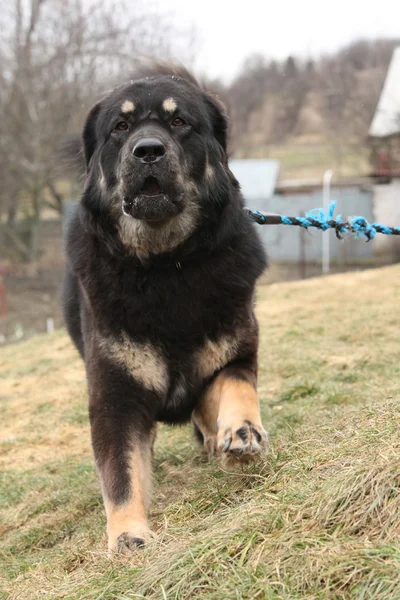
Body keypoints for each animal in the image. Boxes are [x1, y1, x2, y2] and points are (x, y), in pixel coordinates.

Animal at [62, 64, 268, 552]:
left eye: (179, 122)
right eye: (120, 127)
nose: (148, 151)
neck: (165, 267)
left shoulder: (233, 355)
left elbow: (236, 385)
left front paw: (242, 430)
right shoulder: (114, 398)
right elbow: (121, 474)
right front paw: (128, 535)